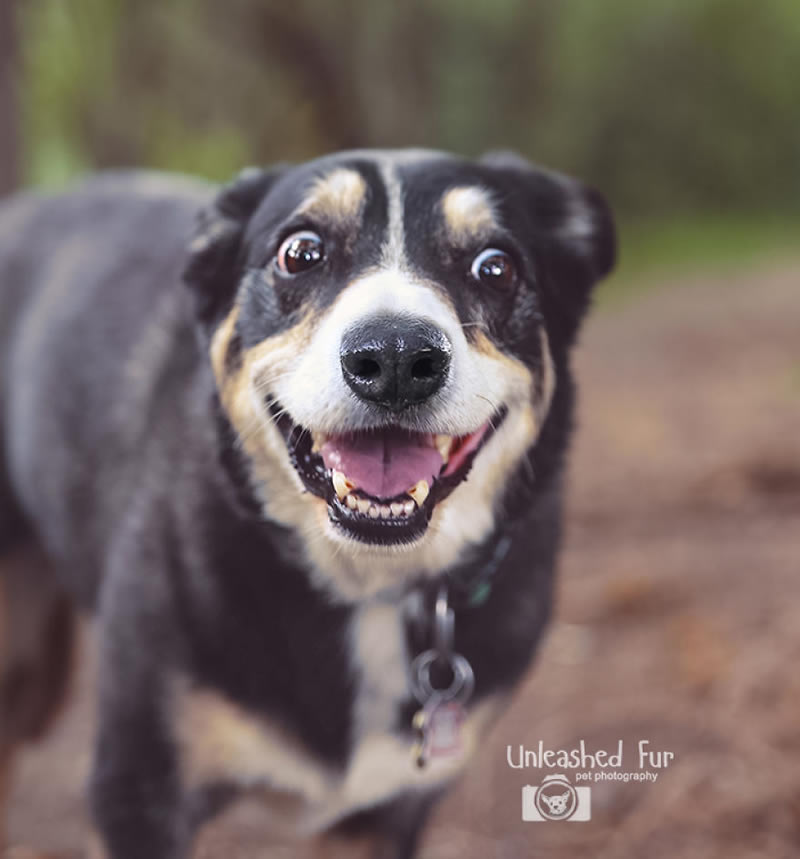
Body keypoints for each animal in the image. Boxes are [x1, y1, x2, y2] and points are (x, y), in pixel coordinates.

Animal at [0, 151, 616, 856]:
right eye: (300, 252)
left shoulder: (381, 818)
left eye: (496, 266)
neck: (365, 583)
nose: (397, 357)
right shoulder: (137, 790)